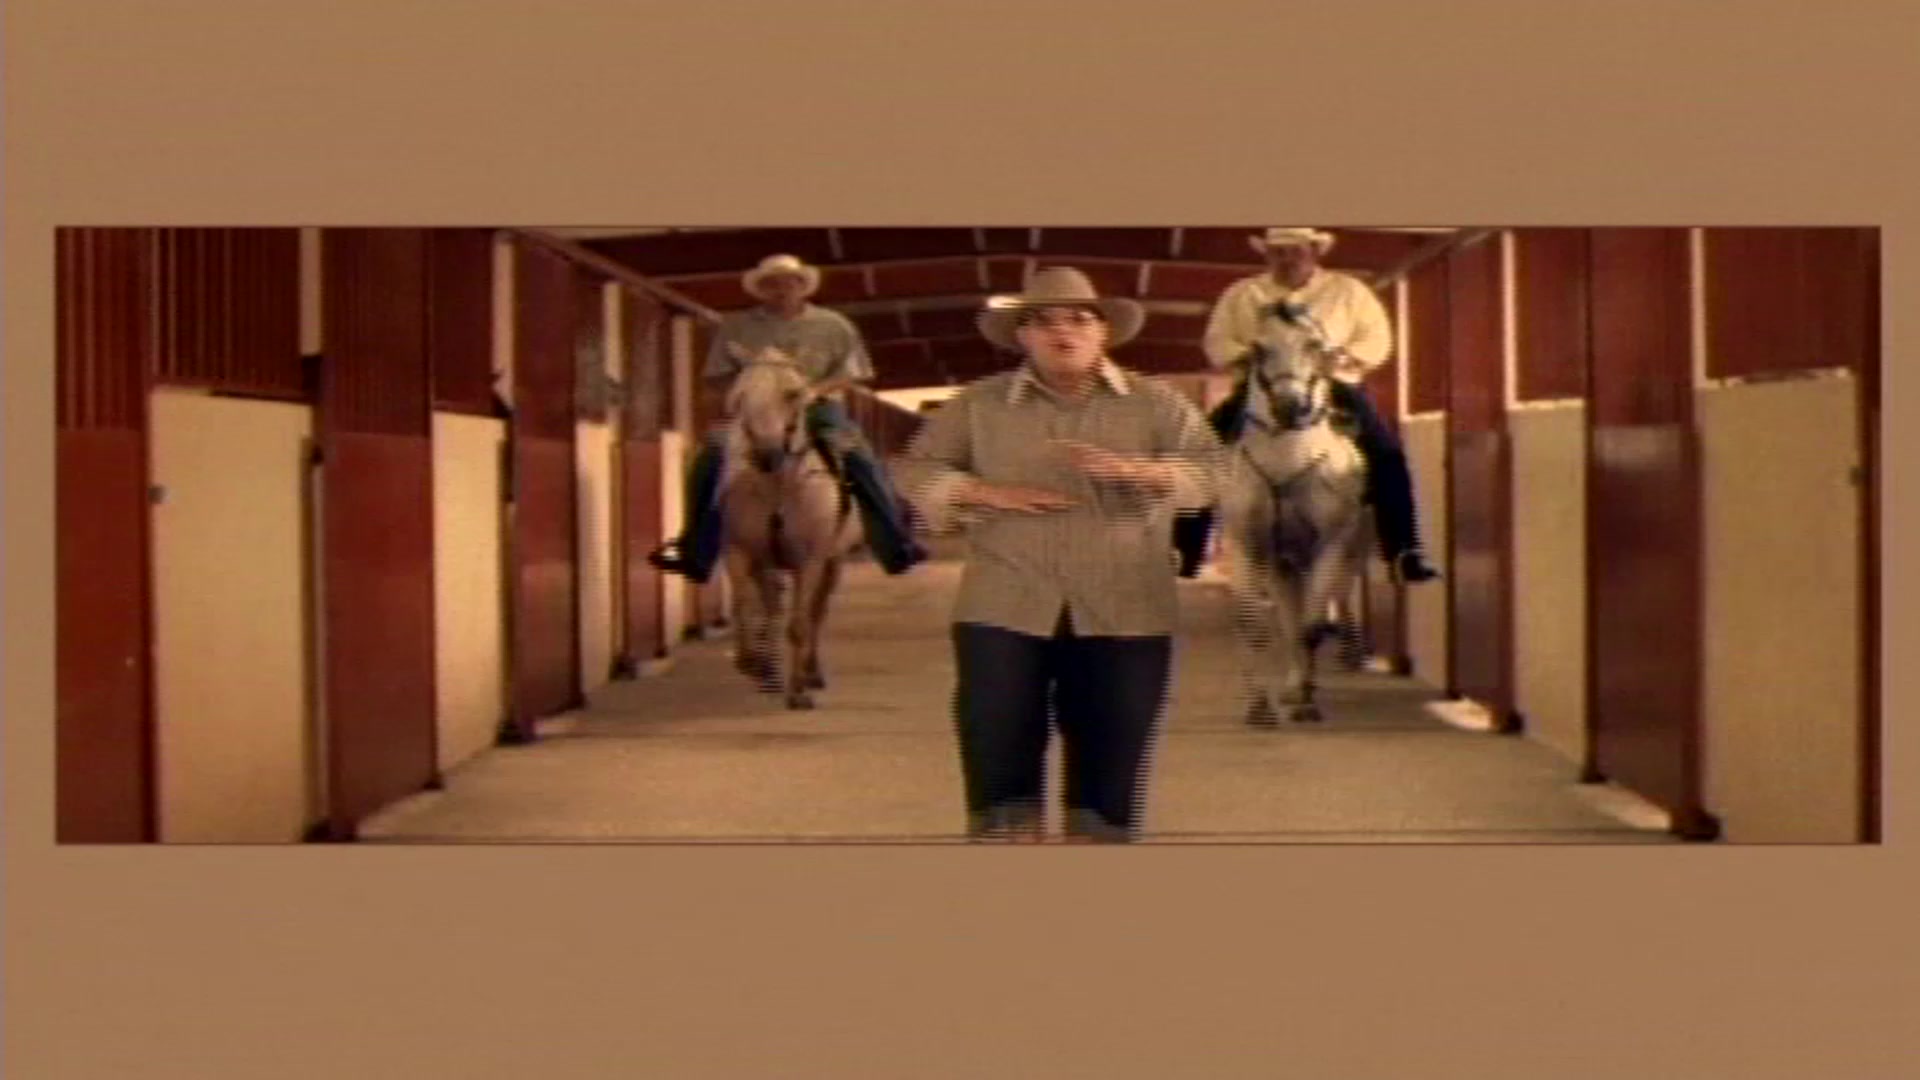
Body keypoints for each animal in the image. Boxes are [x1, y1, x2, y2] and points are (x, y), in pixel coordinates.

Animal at [715, 344, 862, 710]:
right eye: (739, 396)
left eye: (793, 393)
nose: (767, 455)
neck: (778, 489)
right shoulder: (740, 551)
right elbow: (745, 607)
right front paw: (750, 663)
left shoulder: (808, 560)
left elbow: (800, 622)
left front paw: (797, 692)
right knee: (772, 608)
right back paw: (768, 669)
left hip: (833, 561)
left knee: (816, 613)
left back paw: (812, 673)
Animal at [1216, 319, 1372, 726]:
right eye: (1258, 348)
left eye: (1315, 345)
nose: (1290, 406)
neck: (1287, 463)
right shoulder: (1249, 545)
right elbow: (1257, 624)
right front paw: (1260, 706)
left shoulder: (1330, 545)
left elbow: (1311, 627)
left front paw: (1306, 703)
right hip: (1283, 565)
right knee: (1288, 618)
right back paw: (1291, 684)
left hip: (1350, 553)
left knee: (1337, 601)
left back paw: (1344, 656)